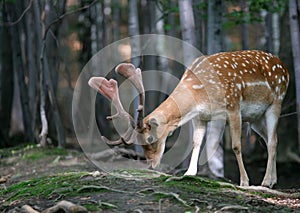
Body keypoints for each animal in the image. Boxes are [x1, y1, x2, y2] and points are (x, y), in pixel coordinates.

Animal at [88, 50, 288, 188]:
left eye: (150, 139)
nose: (151, 165)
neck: (199, 94)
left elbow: (236, 146)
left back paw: (266, 182)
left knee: (272, 140)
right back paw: (273, 180)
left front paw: (244, 181)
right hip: (255, 119)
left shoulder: (233, 106)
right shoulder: (200, 116)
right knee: (272, 139)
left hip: (276, 102)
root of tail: (284, 67)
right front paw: (190, 173)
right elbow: (196, 142)